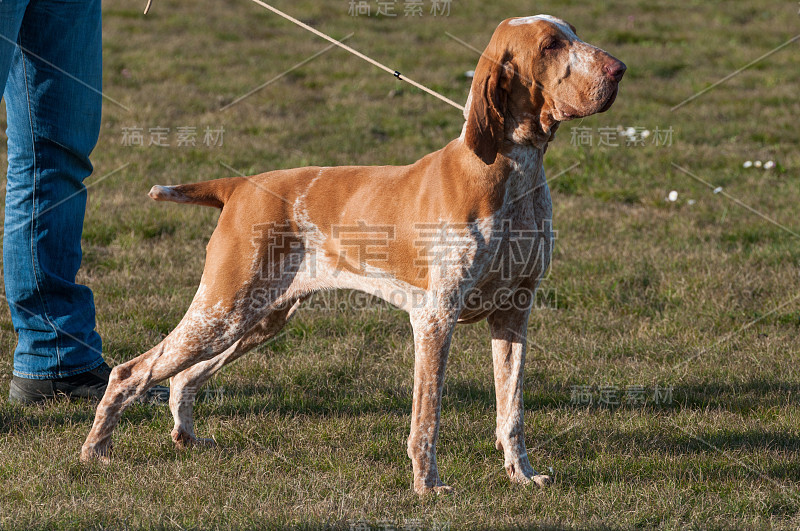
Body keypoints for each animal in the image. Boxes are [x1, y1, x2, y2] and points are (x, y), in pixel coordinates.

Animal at [84, 16, 628, 496]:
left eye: (574, 33)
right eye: (551, 45)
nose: (620, 69)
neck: (514, 171)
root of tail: (239, 186)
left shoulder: (514, 311)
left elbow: (511, 411)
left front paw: (521, 475)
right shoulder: (435, 318)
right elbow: (426, 420)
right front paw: (426, 486)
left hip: (258, 318)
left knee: (183, 377)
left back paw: (186, 436)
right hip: (223, 310)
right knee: (131, 372)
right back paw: (95, 450)